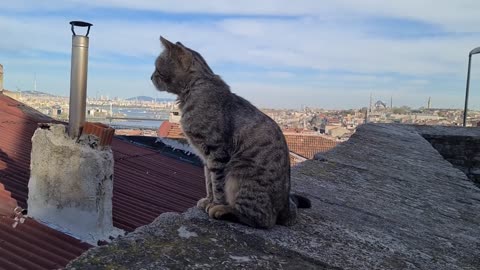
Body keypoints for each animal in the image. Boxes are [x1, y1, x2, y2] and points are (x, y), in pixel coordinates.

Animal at [152, 36, 314, 228]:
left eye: (157, 68)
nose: (150, 77)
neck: (194, 88)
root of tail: (286, 208)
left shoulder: (216, 152)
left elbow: (217, 183)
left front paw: (215, 203)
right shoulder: (205, 157)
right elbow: (208, 181)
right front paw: (208, 200)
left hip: (240, 173)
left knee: (263, 219)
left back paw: (223, 210)